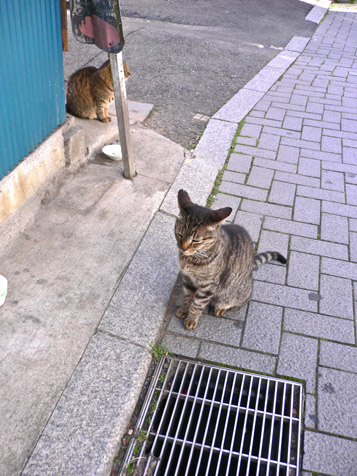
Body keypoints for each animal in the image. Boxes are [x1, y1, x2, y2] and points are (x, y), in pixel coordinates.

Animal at [175, 190, 286, 330]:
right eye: (179, 234)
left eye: (196, 240)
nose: (183, 248)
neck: (191, 259)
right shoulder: (187, 279)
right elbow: (187, 297)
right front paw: (184, 309)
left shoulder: (208, 286)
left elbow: (197, 305)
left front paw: (191, 319)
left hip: (237, 293)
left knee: (237, 301)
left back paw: (221, 308)